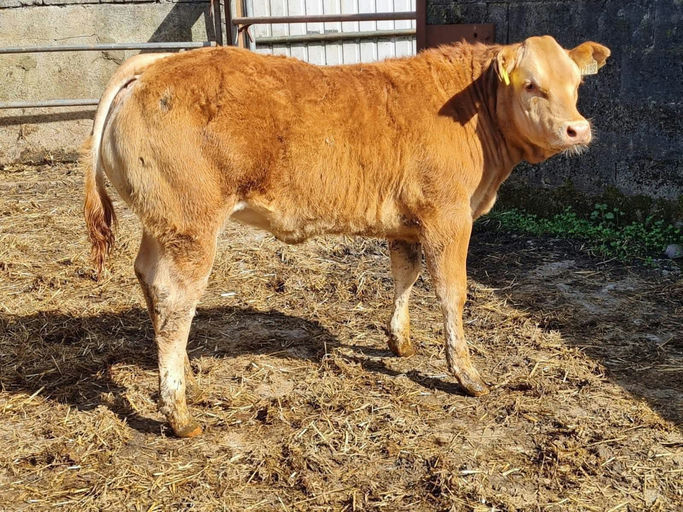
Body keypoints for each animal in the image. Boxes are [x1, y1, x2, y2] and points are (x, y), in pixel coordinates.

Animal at [82, 36, 609, 437]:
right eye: (531, 84)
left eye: (576, 84)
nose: (577, 129)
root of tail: (157, 62)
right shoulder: (448, 216)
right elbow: (451, 293)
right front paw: (467, 374)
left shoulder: (407, 221)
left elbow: (404, 275)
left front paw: (400, 341)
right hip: (190, 226)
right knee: (176, 302)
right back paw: (178, 411)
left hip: (162, 224)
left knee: (148, 280)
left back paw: (186, 378)